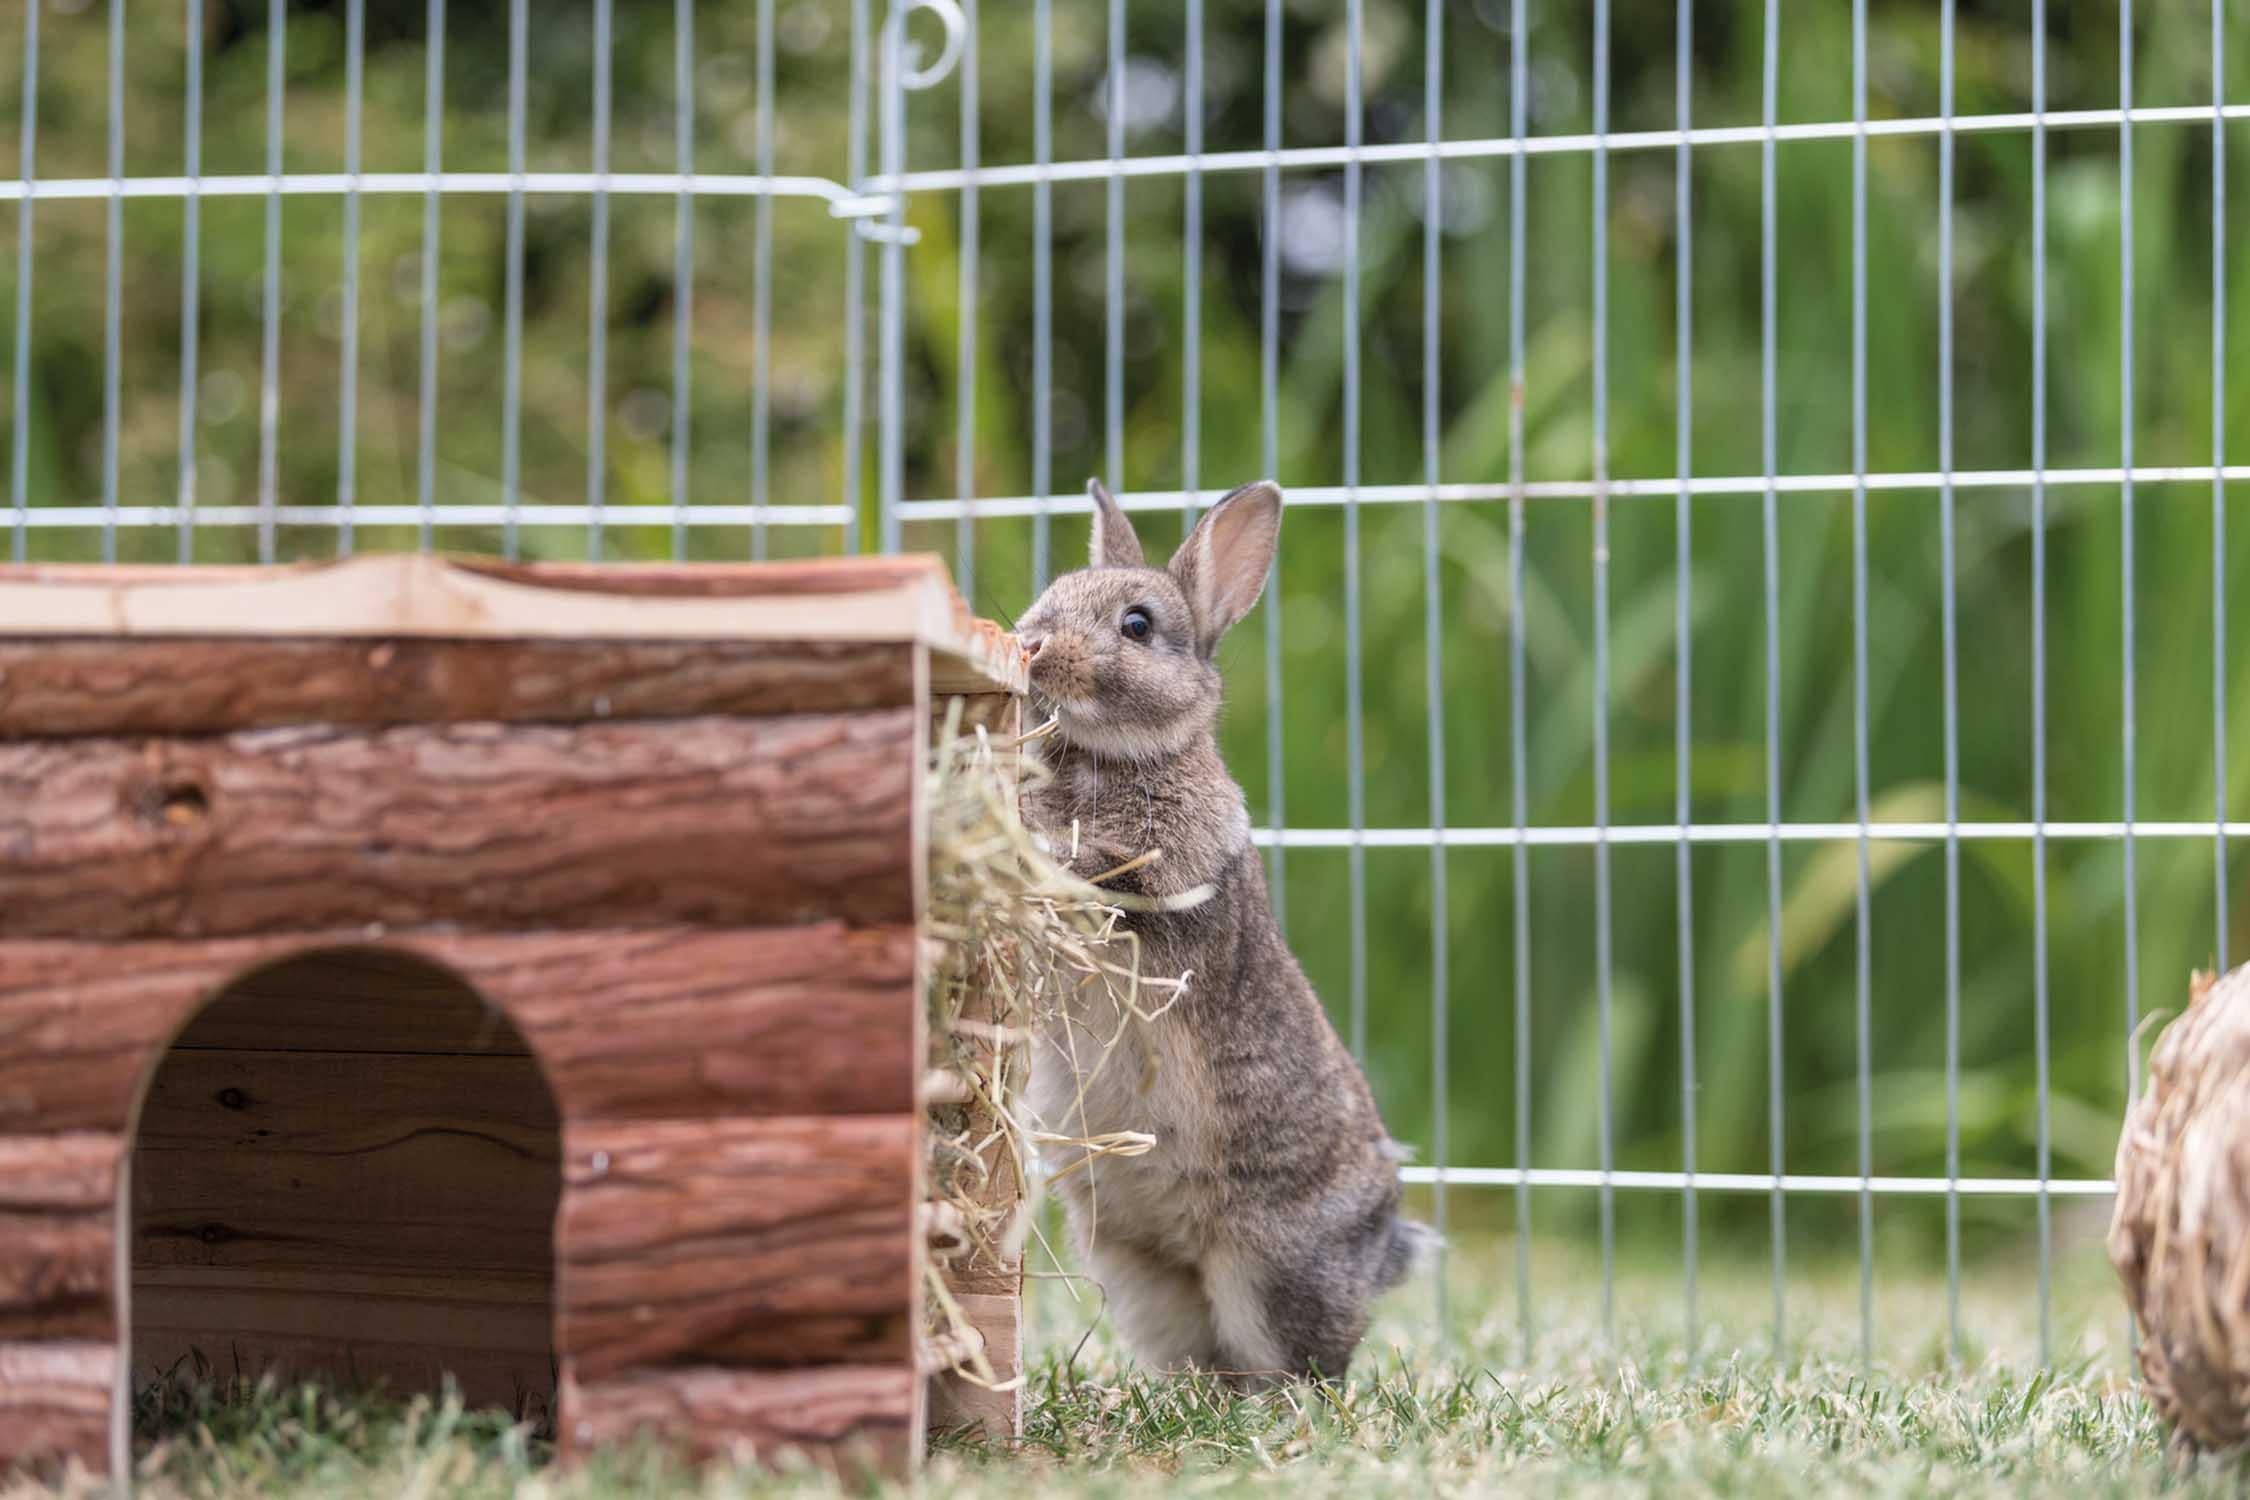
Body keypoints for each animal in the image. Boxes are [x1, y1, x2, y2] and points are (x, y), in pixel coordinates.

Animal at [1017, 479, 1422, 1385]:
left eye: (1137, 625)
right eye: (1050, 593)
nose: (1029, 646)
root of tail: (1381, 1249)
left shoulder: (1169, 892)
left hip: (1268, 1268)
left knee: (1298, 1364)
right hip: (1133, 1272)